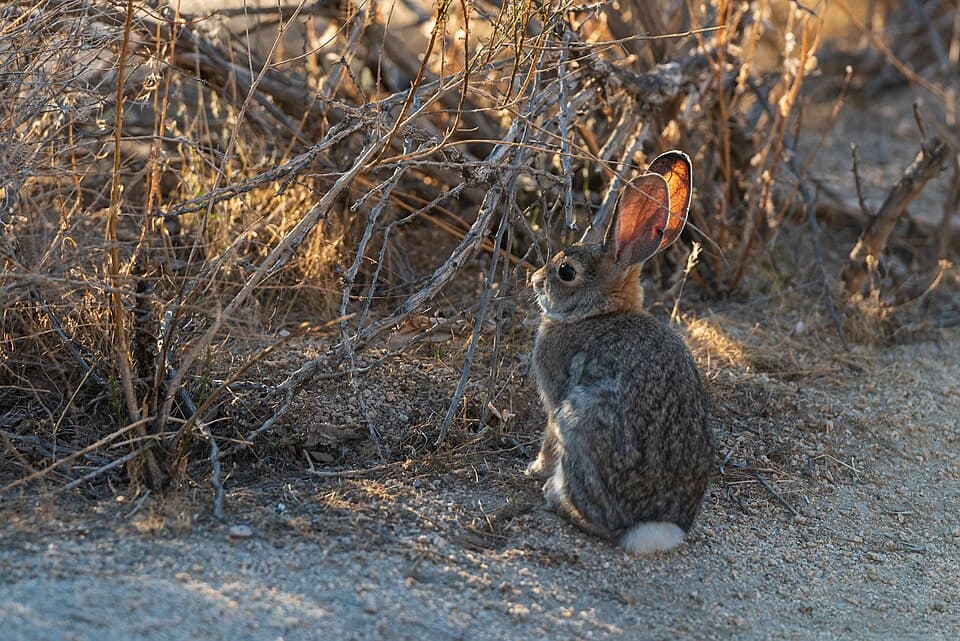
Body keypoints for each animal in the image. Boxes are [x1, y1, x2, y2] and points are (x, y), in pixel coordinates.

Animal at [526, 150, 713, 555]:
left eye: (566, 271)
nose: (534, 280)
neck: (599, 313)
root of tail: (652, 527)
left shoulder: (555, 398)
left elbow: (547, 438)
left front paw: (534, 468)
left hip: (578, 422)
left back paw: (552, 495)